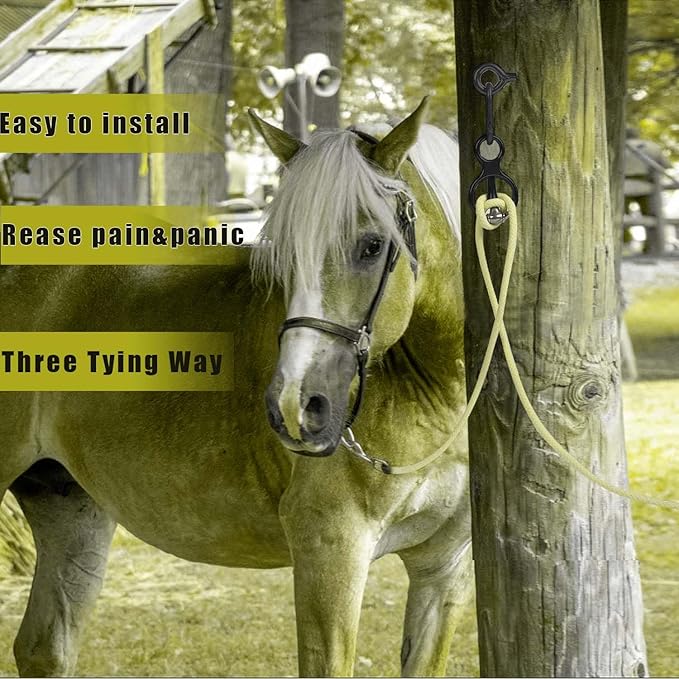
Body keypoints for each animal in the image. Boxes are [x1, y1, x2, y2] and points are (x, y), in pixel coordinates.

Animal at [0, 98, 472, 677]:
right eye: (282, 254)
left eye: (372, 245)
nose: (295, 405)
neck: (434, 392)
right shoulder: (330, 548)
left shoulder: (443, 568)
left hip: (69, 504)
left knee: (44, 647)